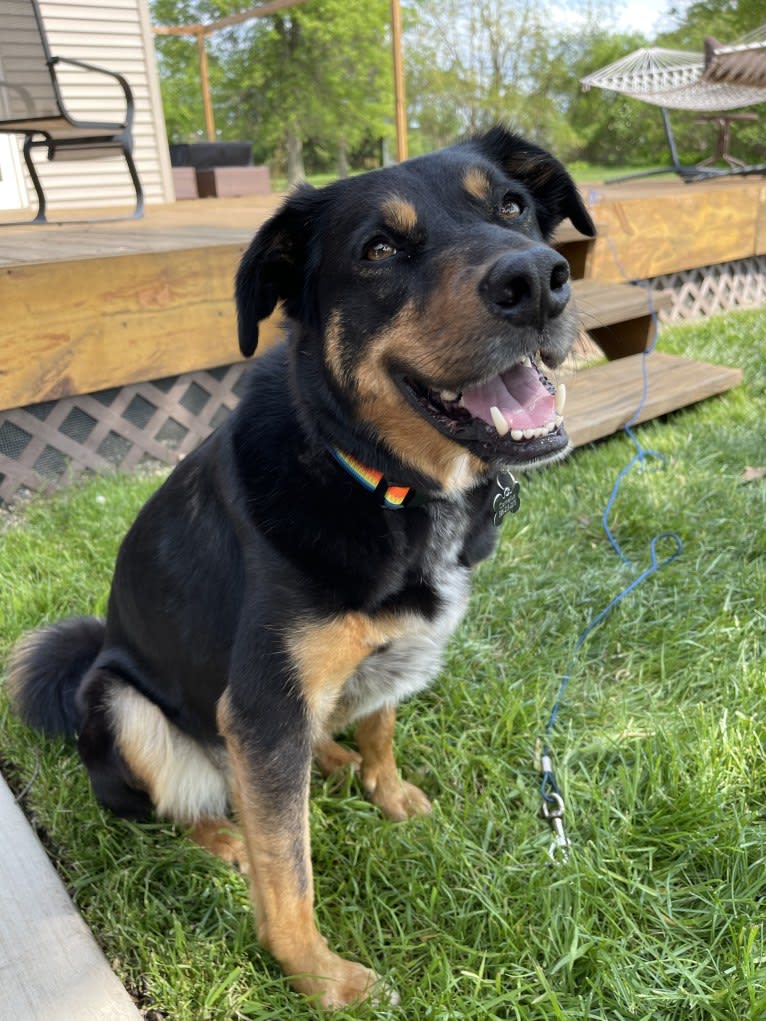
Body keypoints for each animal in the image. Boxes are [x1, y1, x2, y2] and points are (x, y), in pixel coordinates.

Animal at [7, 123, 592, 1008]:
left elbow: (381, 725)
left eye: (515, 207)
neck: (371, 472)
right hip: (123, 704)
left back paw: (333, 760)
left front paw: (388, 789)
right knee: (179, 801)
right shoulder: (258, 704)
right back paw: (226, 836)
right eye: (379, 249)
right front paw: (321, 978)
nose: (538, 281)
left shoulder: (360, 668)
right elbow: (289, 872)